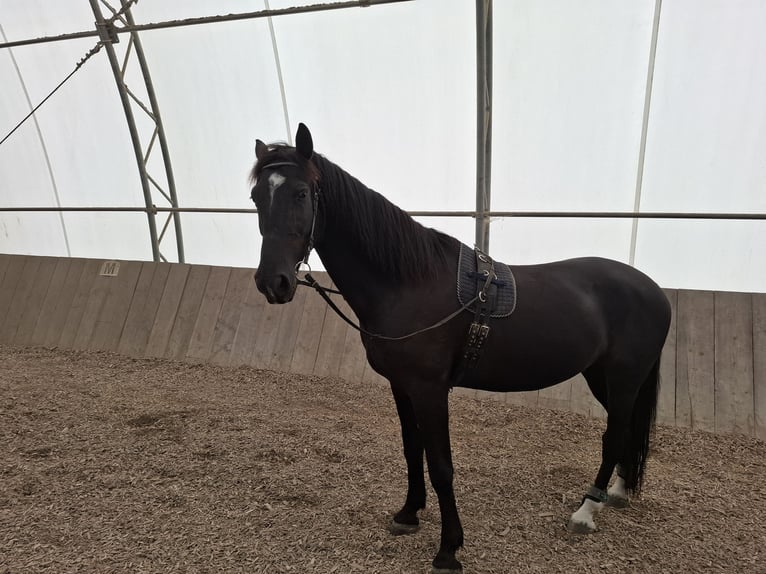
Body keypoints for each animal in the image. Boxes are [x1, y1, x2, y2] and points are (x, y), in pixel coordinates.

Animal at [252, 124, 672, 572]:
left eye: (300, 193)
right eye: (257, 196)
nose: (272, 282)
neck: (408, 283)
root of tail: (654, 291)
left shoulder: (430, 390)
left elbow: (441, 466)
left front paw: (448, 548)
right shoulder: (402, 386)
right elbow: (411, 449)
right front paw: (408, 513)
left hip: (624, 378)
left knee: (615, 434)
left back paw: (586, 511)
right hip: (601, 376)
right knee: (626, 430)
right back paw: (618, 493)